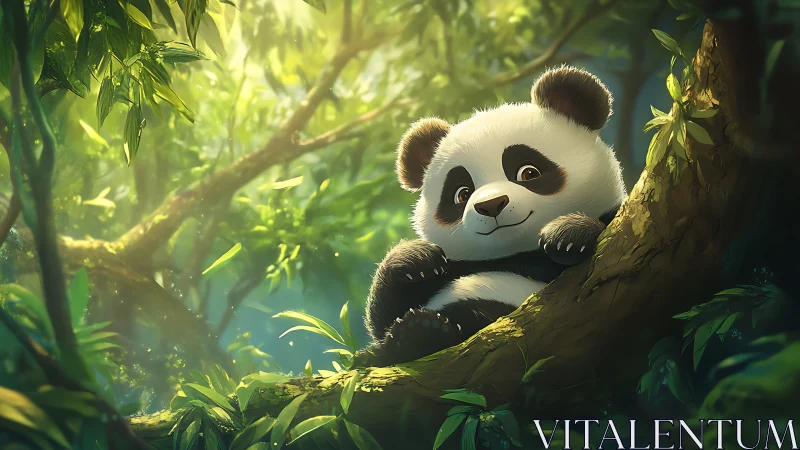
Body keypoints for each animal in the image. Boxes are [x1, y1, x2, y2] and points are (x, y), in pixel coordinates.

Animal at [362, 66, 627, 366]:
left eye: (528, 172)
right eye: (462, 193)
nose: (490, 205)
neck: (516, 253)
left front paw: (567, 234)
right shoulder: (458, 267)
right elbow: (383, 315)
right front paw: (417, 258)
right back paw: (418, 332)